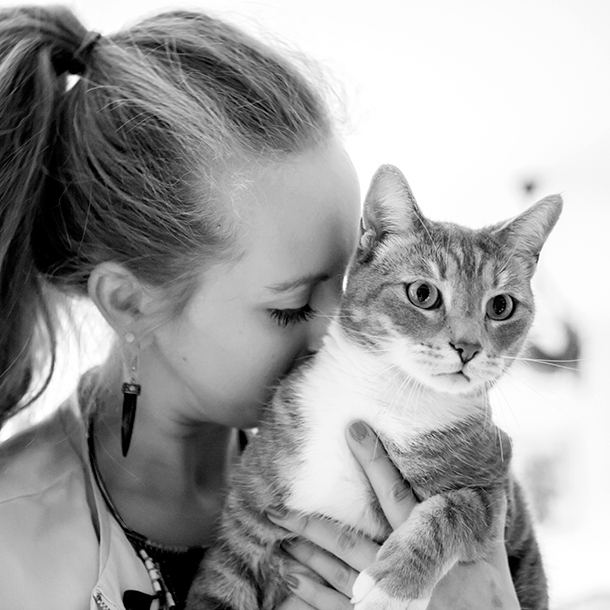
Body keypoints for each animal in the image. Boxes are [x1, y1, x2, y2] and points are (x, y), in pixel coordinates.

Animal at [186, 164, 562, 610]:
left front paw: (393, 583)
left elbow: (455, 510)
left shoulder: (497, 493)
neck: (382, 397)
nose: (468, 348)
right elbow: (223, 581)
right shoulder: (247, 520)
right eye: (423, 293)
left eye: (501, 306)